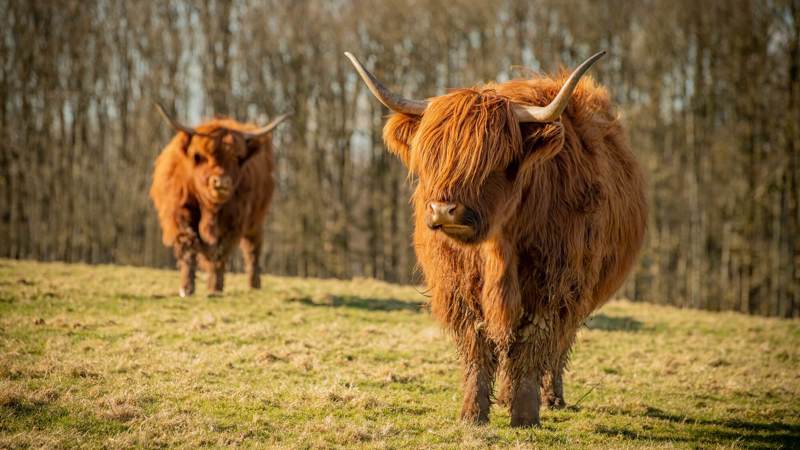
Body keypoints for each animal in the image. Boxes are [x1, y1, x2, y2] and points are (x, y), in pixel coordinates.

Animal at [150, 104, 290, 297]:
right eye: (199, 156)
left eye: (238, 158)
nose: (221, 182)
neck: (210, 208)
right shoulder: (180, 212)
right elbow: (189, 245)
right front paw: (187, 288)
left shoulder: (233, 222)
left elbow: (219, 252)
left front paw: (215, 287)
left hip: (256, 218)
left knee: (253, 247)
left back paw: (253, 284)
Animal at [346, 51, 647, 427]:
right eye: (433, 155)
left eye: (495, 161)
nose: (444, 210)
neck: (499, 245)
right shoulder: (459, 285)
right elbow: (478, 345)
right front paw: (473, 413)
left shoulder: (553, 285)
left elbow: (533, 344)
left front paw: (526, 414)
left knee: (558, 347)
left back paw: (552, 398)